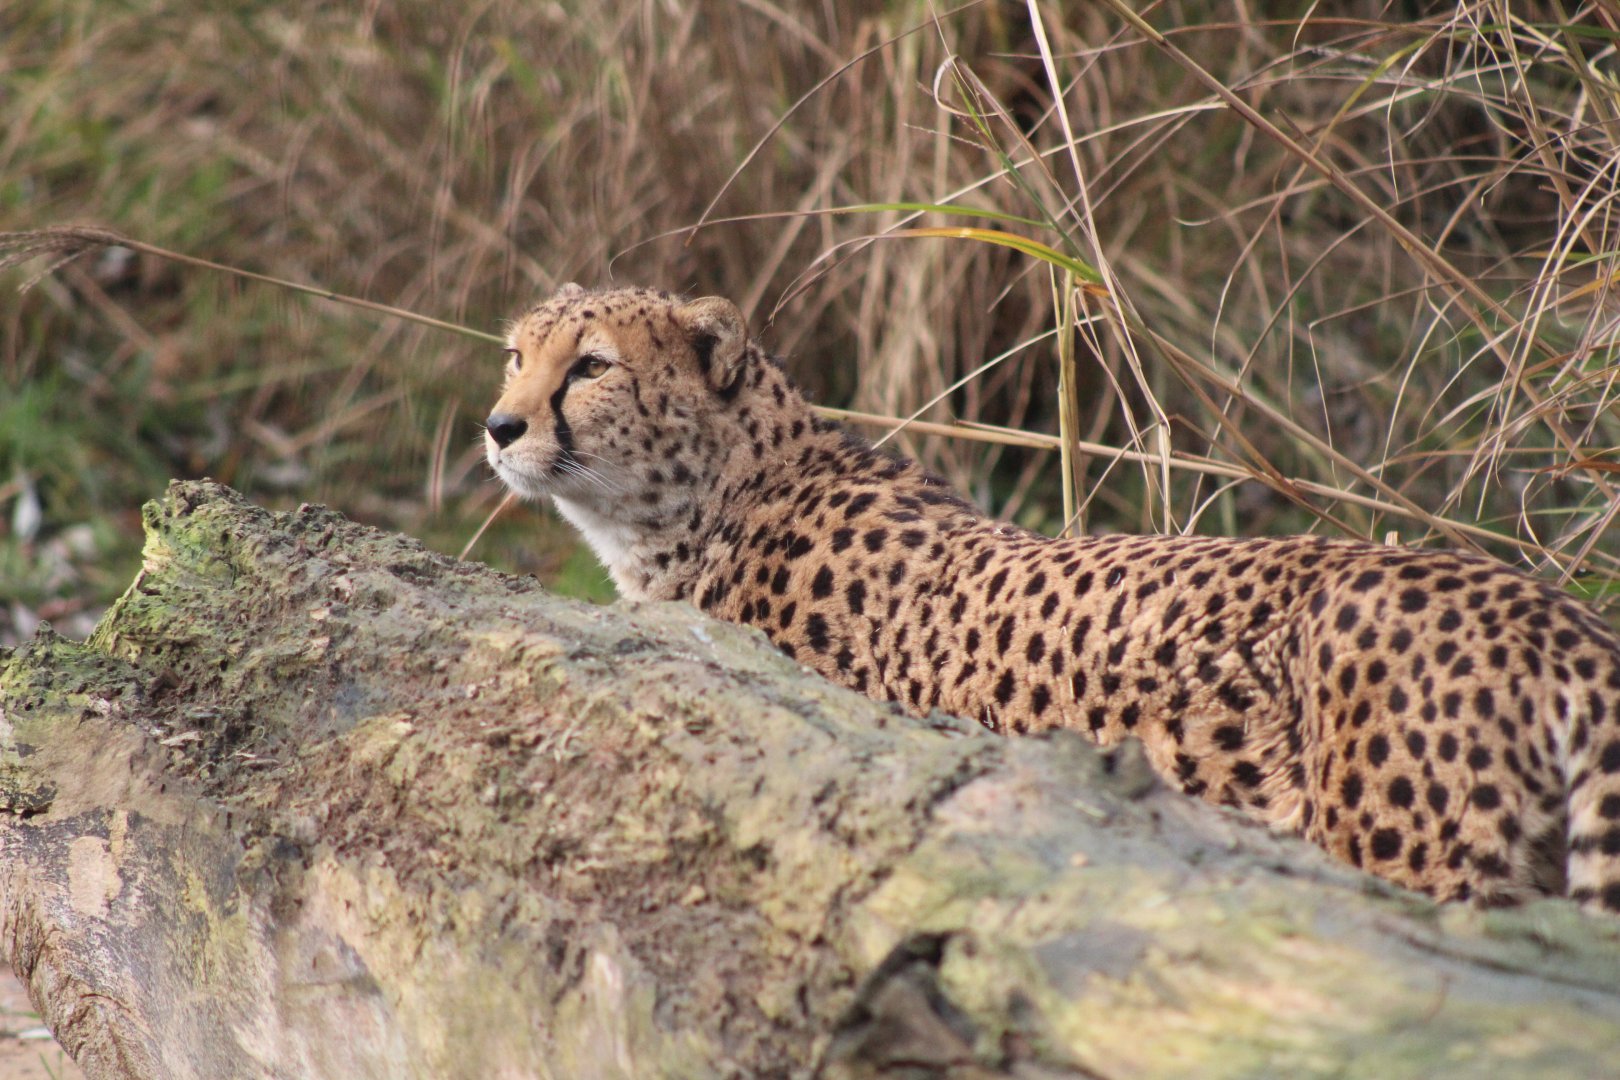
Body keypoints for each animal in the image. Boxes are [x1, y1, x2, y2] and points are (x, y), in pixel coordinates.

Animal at [483, 283, 1620, 914]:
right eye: (516, 355)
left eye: (590, 367)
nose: (499, 426)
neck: (714, 499)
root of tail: (1547, 611)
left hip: (1413, 860)